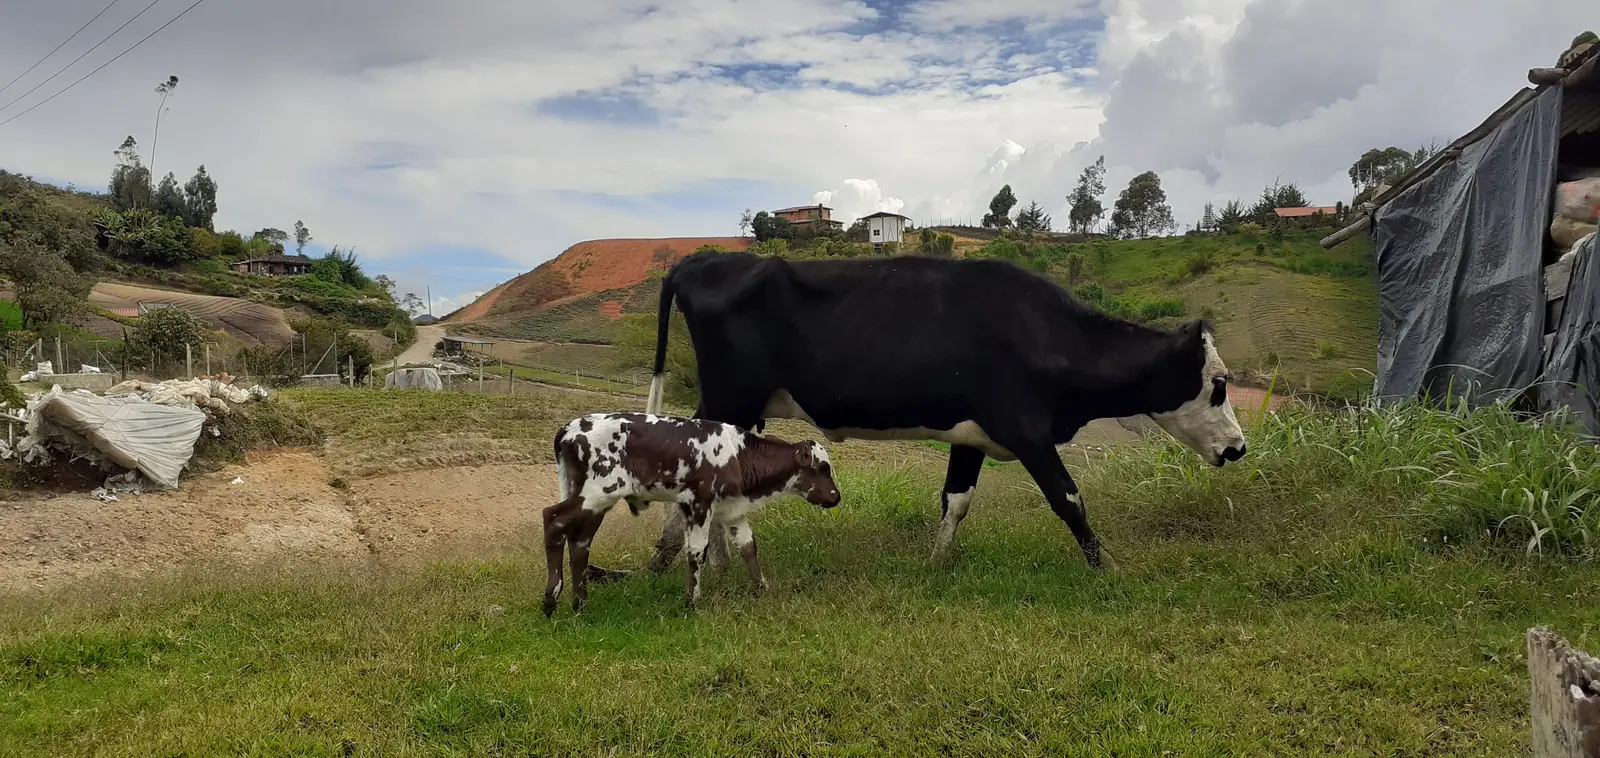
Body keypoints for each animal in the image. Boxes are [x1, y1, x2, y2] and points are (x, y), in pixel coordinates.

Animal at [542, 412, 841, 615]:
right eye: (823, 468)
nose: (836, 497)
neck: (738, 455)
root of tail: (567, 430)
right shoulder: (697, 504)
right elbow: (697, 552)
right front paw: (692, 602)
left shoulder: (732, 510)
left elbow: (748, 546)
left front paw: (760, 588)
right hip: (596, 492)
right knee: (553, 519)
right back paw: (550, 600)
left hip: (596, 501)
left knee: (580, 542)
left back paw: (580, 604)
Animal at [600, 249, 1247, 576]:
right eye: (1219, 385)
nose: (1239, 448)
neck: (1044, 331)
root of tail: (700, 259)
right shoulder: (1027, 430)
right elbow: (1069, 498)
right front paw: (1106, 568)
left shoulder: (973, 434)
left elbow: (955, 500)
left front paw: (936, 565)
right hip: (730, 396)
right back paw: (683, 558)